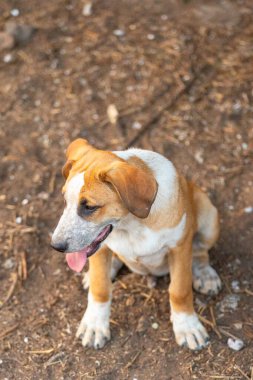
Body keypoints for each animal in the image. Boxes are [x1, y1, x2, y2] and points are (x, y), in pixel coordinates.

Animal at [51, 138, 221, 352]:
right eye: (65, 200)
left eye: (89, 207)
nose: (55, 245)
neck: (132, 225)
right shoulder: (100, 247)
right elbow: (100, 287)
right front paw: (95, 325)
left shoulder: (180, 247)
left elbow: (179, 290)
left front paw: (188, 326)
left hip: (208, 215)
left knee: (200, 251)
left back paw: (205, 274)